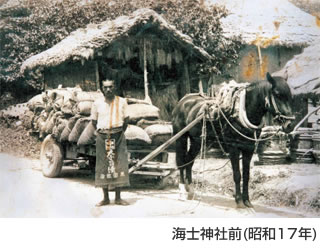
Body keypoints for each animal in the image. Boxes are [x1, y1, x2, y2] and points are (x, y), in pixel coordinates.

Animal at [172, 72, 296, 207]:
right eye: (277, 94)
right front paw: (239, 201)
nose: (290, 125)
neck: (242, 113)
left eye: (290, 96)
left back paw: (190, 190)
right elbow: (237, 174)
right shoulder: (233, 148)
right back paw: (182, 190)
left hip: (197, 141)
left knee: (189, 160)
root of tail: (183, 101)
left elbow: (246, 175)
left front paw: (247, 201)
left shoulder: (249, 148)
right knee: (181, 161)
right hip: (181, 137)